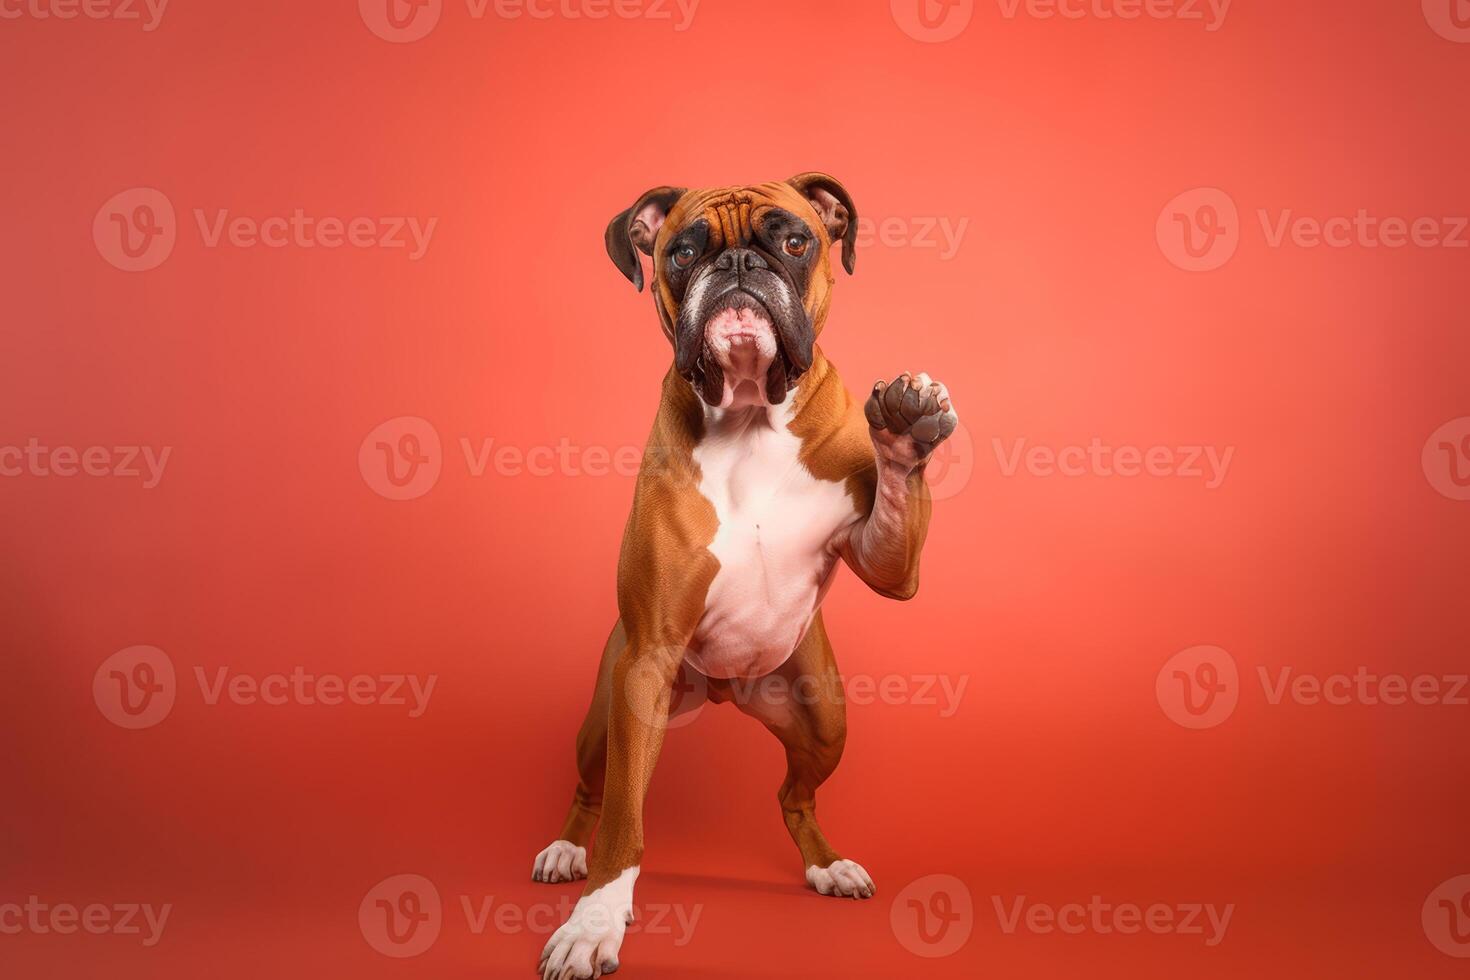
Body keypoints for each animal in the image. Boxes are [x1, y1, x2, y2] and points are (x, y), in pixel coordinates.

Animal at [535, 172, 958, 975]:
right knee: (594, 791)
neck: (751, 414)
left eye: (793, 240)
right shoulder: (647, 660)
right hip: (612, 714)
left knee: (795, 796)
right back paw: (568, 849)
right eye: (682, 252)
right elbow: (625, 826)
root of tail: (725, 691)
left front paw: (901, 429)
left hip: (825, 721)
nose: (735, 265)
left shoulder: (887, 562)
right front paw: (594, 922)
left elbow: (893, 517)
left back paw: (827, 864)